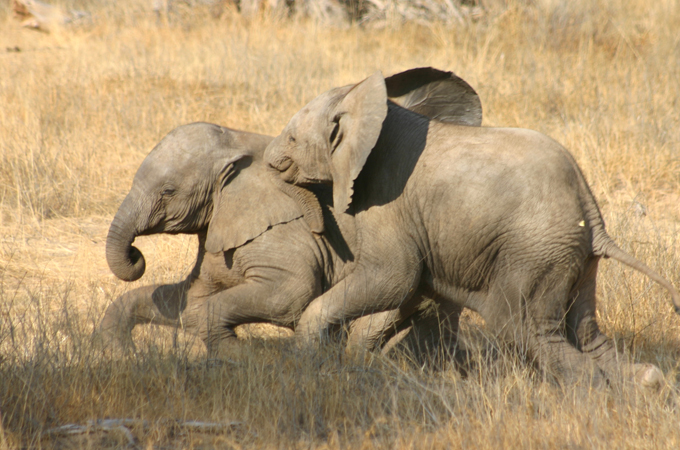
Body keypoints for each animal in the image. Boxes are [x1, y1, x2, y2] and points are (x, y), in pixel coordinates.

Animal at [99, 67, 482, 359]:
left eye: (167, 192)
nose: (135, 255)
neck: (237, 142)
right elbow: (186, 299)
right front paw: (122, 357)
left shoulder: (282, 234)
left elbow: (289, 294)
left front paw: (243, 357)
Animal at [263, 69, 680, 387]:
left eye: (292, 139)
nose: (270, 162)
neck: (367, 102)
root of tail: (592, 213)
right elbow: (411, 291)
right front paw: (359, 363)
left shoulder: (387, 200)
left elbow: (396, 277)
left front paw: (311, 360)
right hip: (573, 256)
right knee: (585, 329)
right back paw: (646, 383)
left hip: (536, 249)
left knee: (523, 326)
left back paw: (589, 392)